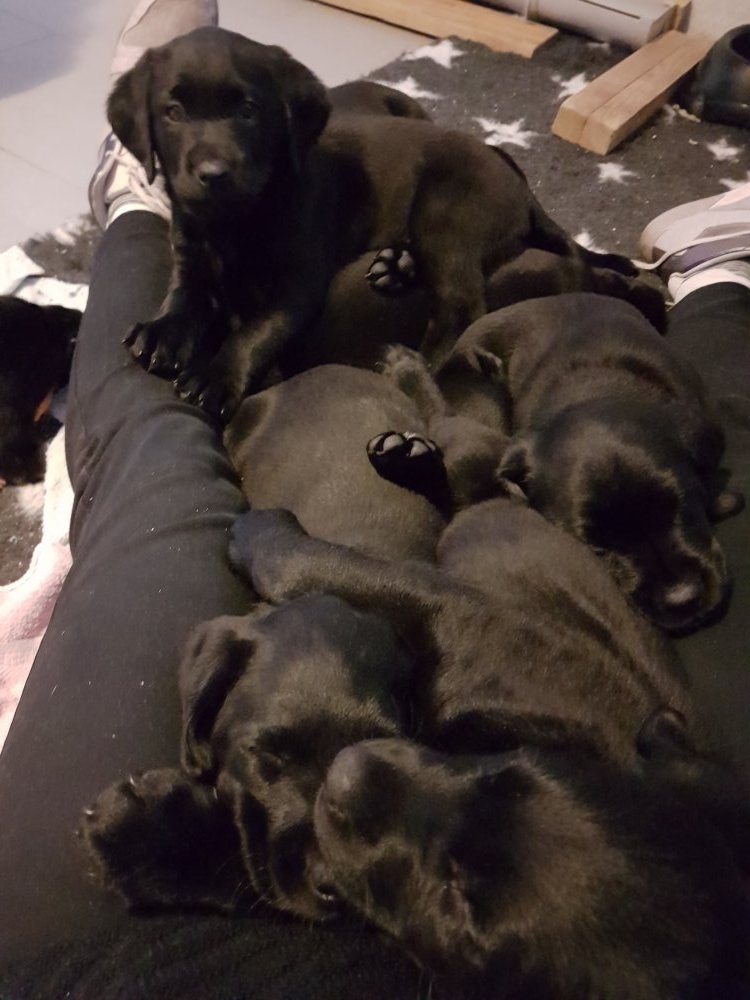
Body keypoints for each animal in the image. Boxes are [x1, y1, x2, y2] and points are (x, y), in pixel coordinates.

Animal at [108, 27, 638, 420]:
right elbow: (184, 297)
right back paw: (398, 265)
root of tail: (520, 184)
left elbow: (256, 331)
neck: (237, 221)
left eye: (248, 110)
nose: (213, 173)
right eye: (173, 112)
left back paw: (421, 371)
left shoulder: (297, 283)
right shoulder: (191, 256)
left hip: (446, 213)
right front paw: (163, 331)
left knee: (462, 307)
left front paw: (218, 378)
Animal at [228, 504, 750, 996]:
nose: (346, 770)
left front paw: (254, 529)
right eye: (510, 767)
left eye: (456, 904)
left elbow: (305, 565)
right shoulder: (467, 617)